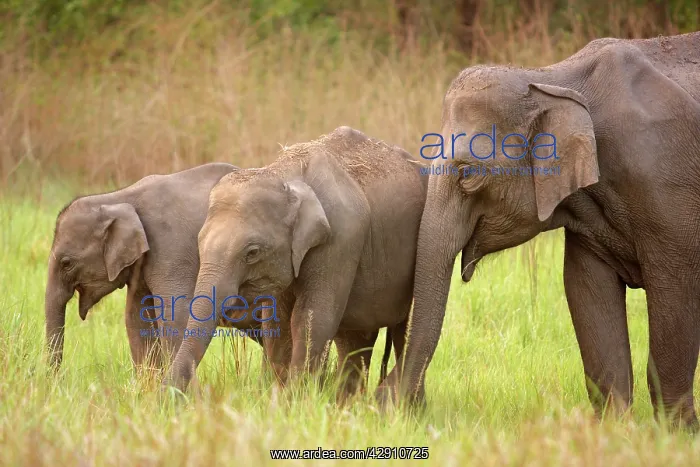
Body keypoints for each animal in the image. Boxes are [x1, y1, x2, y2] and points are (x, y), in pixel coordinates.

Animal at [165, 126, 428, 399]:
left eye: (252, 252)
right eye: (200, 242)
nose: (168, 395)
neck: (287, 175)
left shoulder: (342, 238)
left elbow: (311, 318)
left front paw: (295, 399)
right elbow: (278, 321)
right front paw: (281, 398)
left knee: (401, 332)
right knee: (355, 339)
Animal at [379, 32, 700, 429]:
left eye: (468, 174)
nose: (395, 399)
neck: (550, 79)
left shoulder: (669, 186)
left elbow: (675, 294)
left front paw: (674, 434)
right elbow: (586, 291)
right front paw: (614, 431)